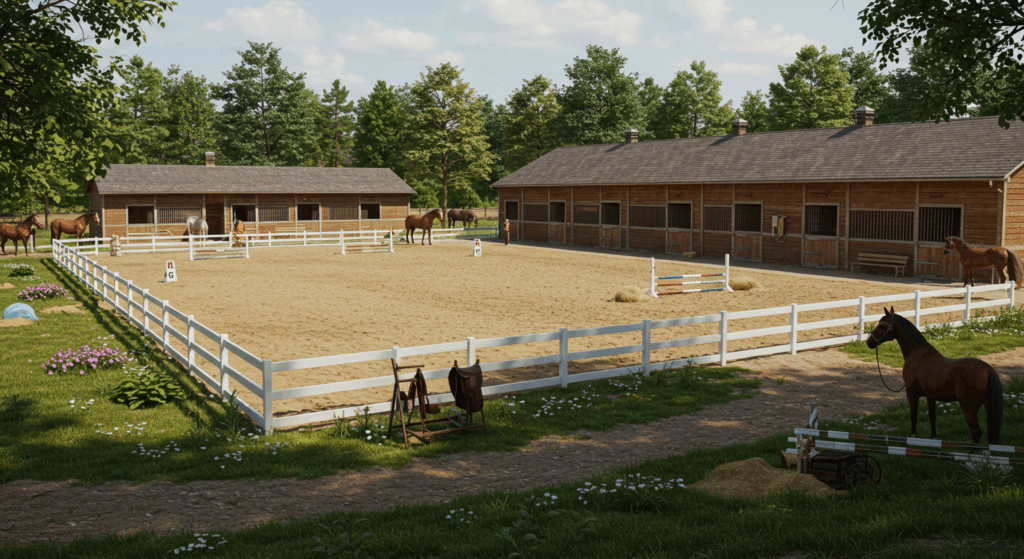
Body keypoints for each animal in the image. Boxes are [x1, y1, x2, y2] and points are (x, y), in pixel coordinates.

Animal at [866, 307, 1003, 444]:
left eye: (882, 326)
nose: (869, 342)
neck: (917, 353)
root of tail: (988, 370)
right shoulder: (930, 396)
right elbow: (932, 417)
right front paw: (933, 438)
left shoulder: (911, 393)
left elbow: (913, 416)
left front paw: (913, 437)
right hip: (987, 406)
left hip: (969, 409)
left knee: (976, 433)